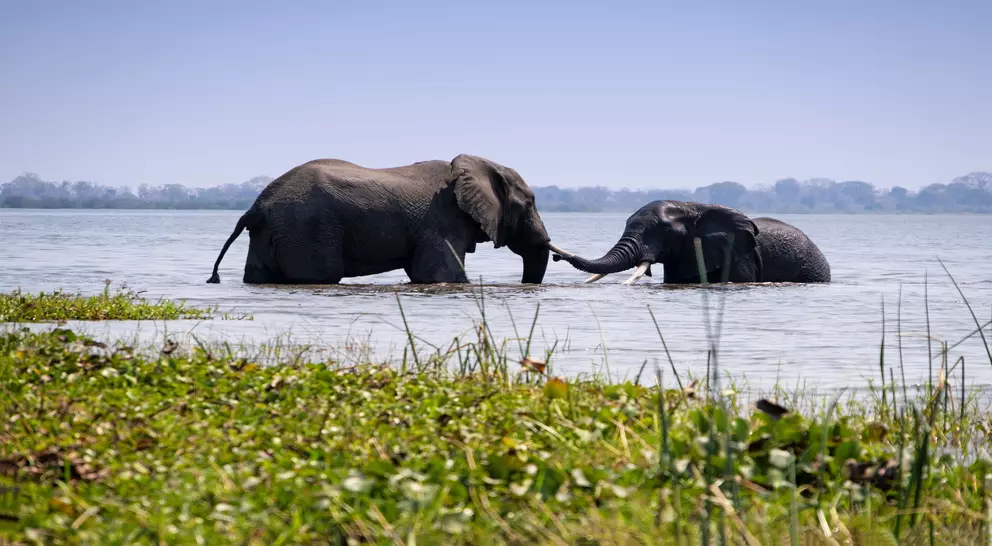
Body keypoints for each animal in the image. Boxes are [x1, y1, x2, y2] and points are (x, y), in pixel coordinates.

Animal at [206, 154, 571, 285]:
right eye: (530, 203)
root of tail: (257, 205)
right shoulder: (441, 221)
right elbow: (439, 275)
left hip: (273, 234)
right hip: (305, 230)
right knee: (320, 276)